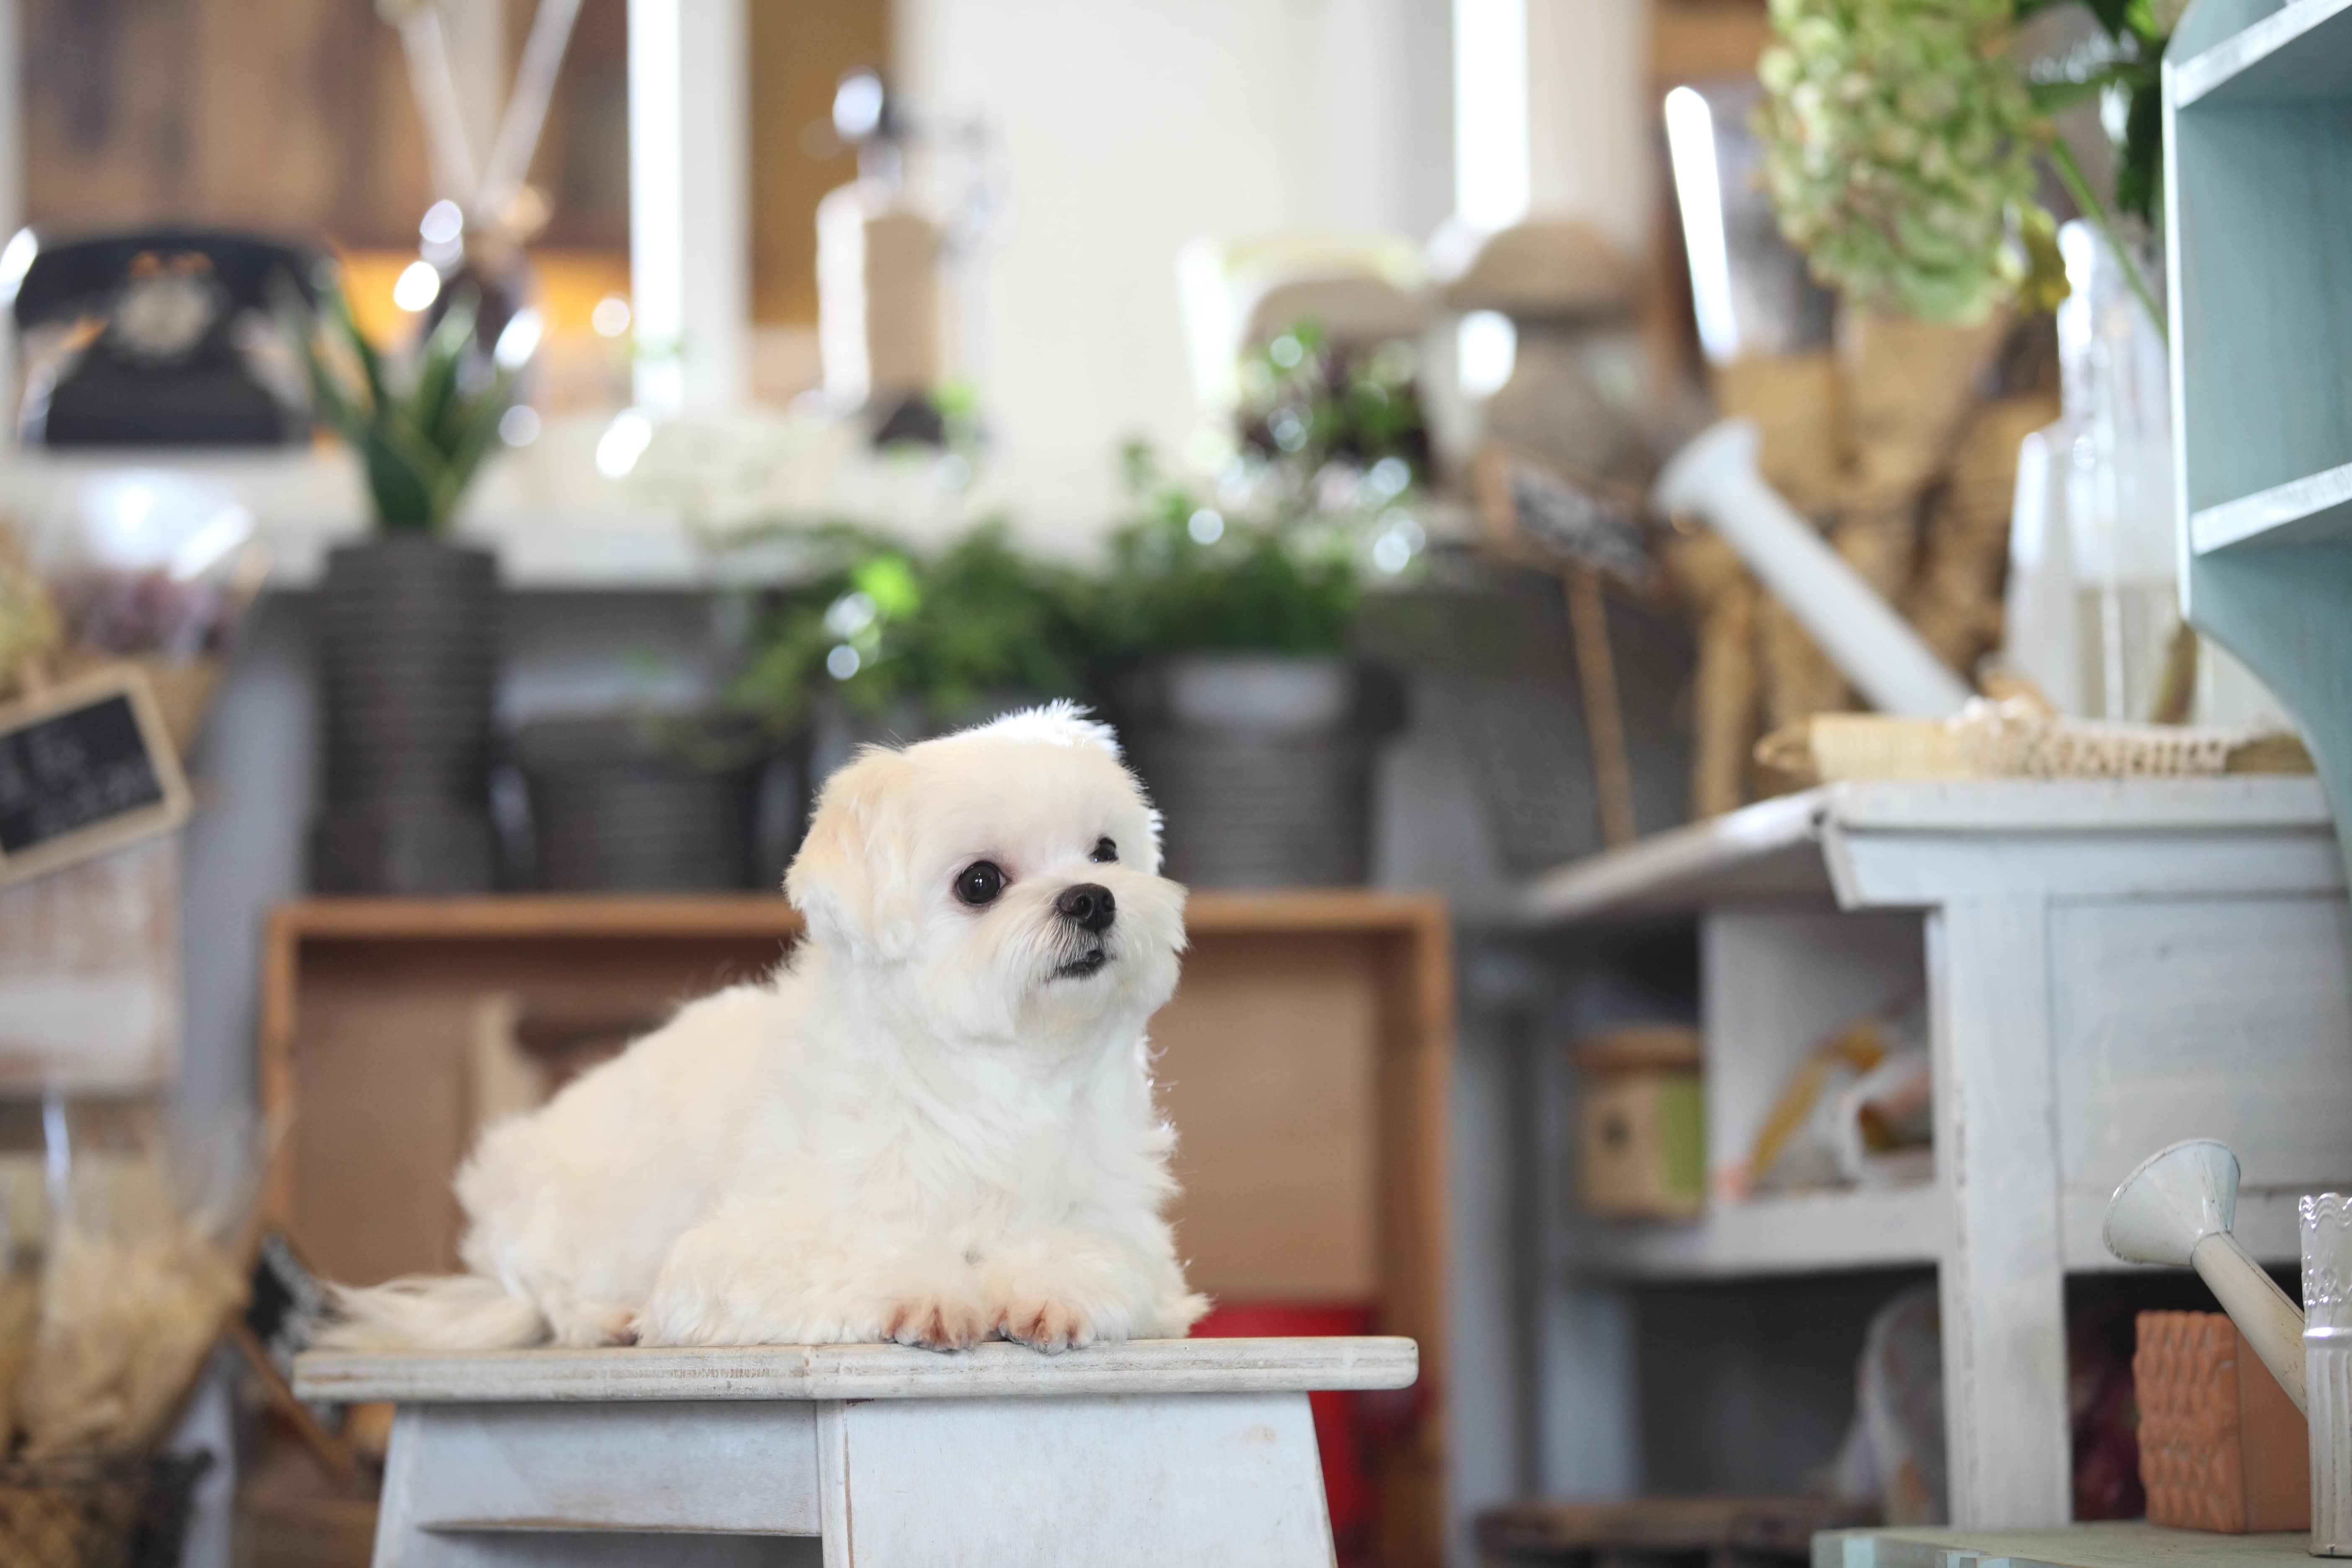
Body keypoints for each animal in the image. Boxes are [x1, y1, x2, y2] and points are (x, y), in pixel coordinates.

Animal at [327, 705, 1213, 1354]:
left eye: (1106, 850)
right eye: (980, 882)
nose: (1092, 898)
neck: (989, 1077)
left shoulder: (1125, 1234)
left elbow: (1098, 1256)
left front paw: (1052, 1288)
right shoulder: (742, 1249)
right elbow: (858, 1251)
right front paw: (928, 1290)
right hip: (552, 1220)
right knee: (554, 1295)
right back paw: (608, 1315)